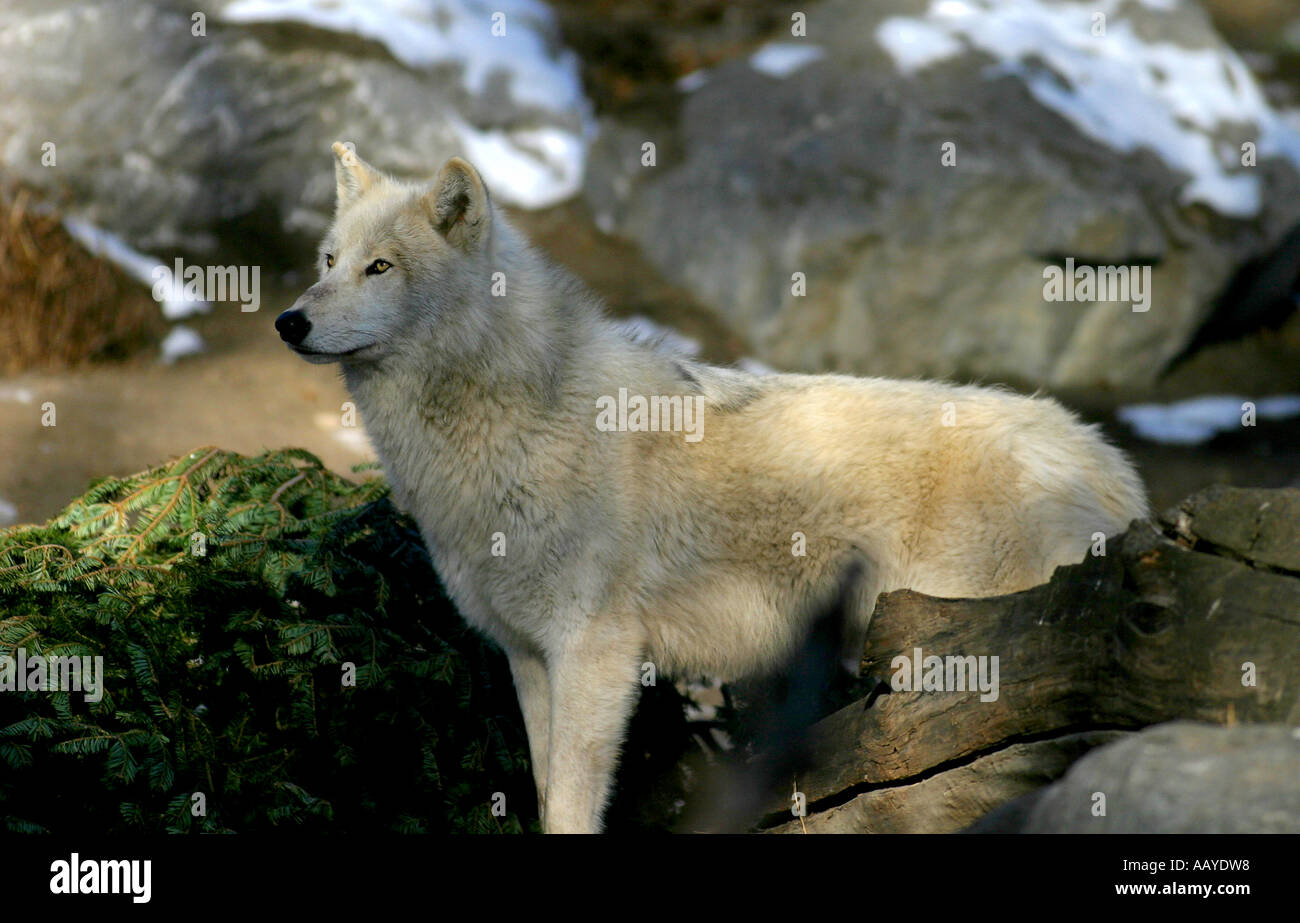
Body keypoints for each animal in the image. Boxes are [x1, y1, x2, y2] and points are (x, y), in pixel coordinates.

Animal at [282, 144, 1149, 837]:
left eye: (381, 267)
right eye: (328, 261)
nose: (289, 321)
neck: (509, 411)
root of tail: (1112, 465)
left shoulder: (595, 650)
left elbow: (571, 804)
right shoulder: (527, 653)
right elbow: (543, 788)